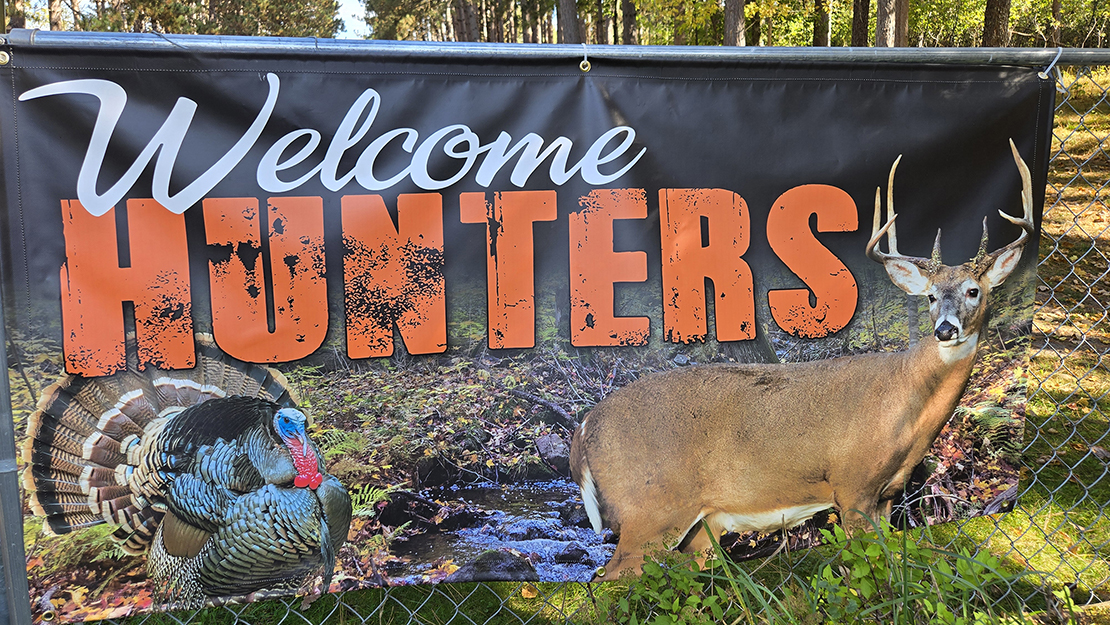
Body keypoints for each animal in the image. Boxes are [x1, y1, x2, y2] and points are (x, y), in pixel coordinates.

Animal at [569, 140, 1035, 580]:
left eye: (974, 290)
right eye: (932, 297)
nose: (945, 330)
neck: (905, 400)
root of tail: (584, 426)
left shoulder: (887, 494)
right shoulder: (852, 485)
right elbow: (866, 572)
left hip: (703, 523)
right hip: (650, 508)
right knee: (611, 577)